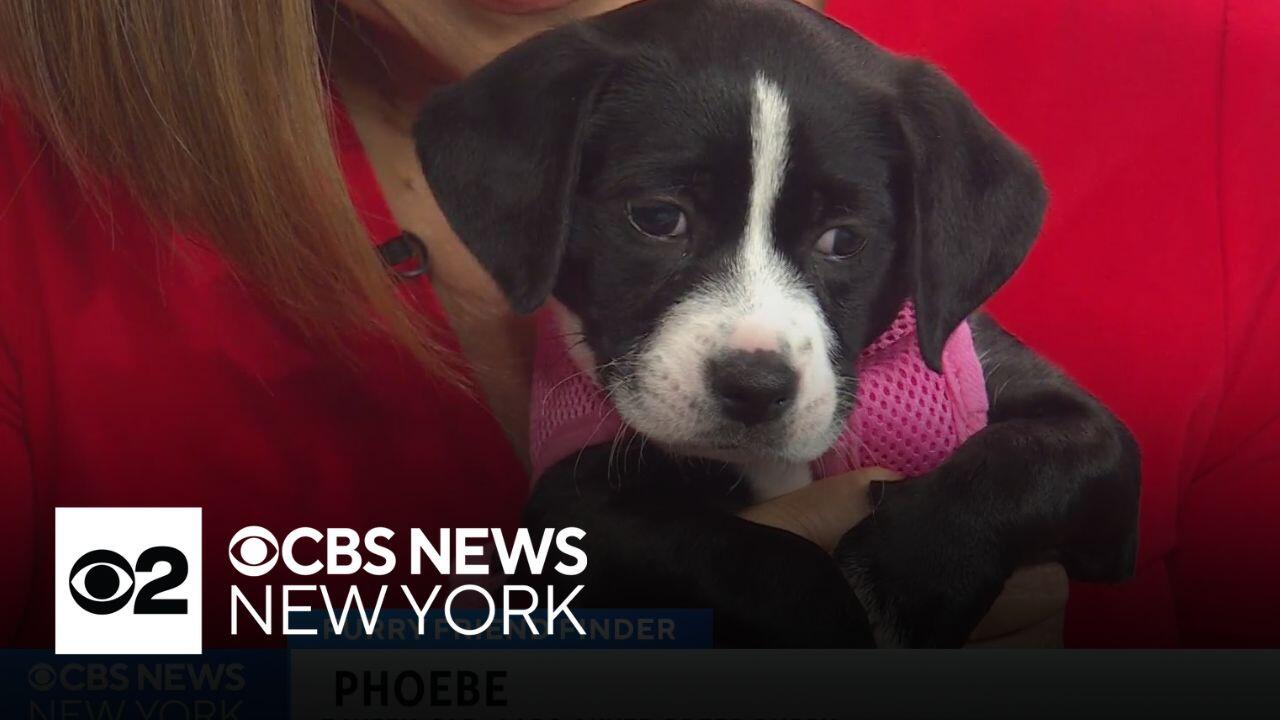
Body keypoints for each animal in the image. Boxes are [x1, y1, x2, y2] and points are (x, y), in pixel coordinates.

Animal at [414, 0, 1141, 647]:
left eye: (843, 240)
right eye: (658, 218)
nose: (756, 387)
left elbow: (1053, 453)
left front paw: (909, 577)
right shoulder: (565, 506)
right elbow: (720, 553)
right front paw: (826, 619)